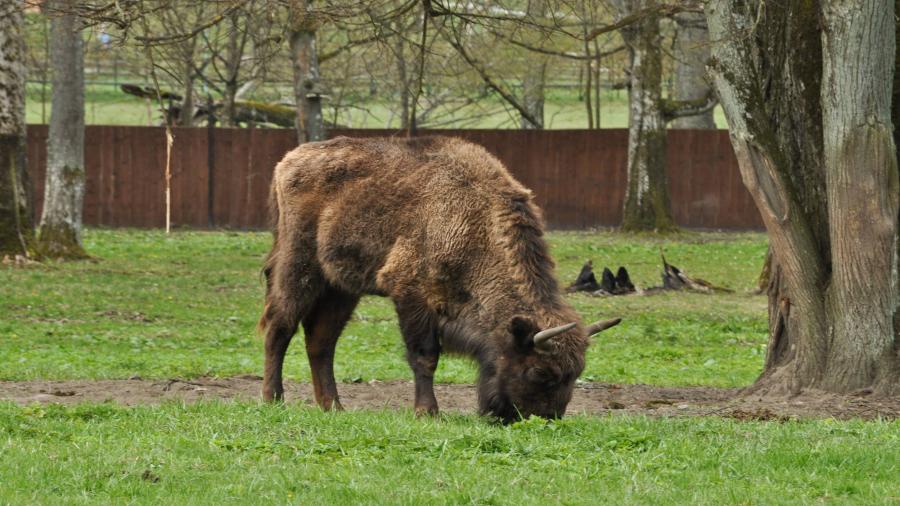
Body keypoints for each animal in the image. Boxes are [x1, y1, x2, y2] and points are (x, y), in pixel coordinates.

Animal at [258, 135, 620, 422]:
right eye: (541, 372)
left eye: (575, 374)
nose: (542, 419)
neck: (478, 222)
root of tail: (287, 161)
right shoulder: (412, 294)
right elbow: (425, 357)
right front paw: (428, 412)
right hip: (299, 267)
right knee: (280, 327)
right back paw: (273, 399)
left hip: (340, 289)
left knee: (321, 341)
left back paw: (333, 406)